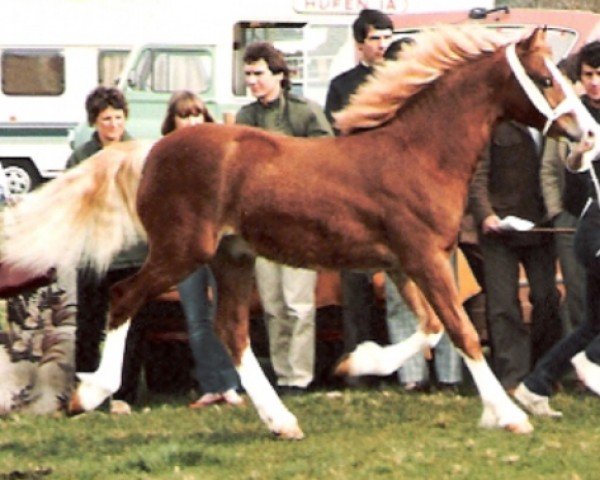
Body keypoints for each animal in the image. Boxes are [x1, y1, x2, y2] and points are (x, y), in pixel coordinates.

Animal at [1, 26, 596, 438]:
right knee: (125, 297)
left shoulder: (403, 262)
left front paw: (359, 361)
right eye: (546, 79)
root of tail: (149, 150)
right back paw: (90, 394)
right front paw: (511, 416)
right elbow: (462, 331)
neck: (419, 153)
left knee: (231, 330)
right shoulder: (423, 257)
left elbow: (430, 329)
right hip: (182, 251)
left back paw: (282, 421)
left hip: (232, 257)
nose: (587, 133)